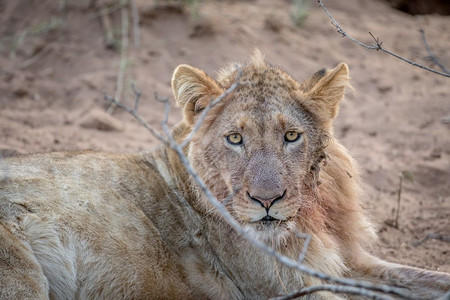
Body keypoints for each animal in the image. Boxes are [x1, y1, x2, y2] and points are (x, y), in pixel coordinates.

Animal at [0, 51, 450, 298]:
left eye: (291, 136)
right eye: (235, 138)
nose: (267, 201)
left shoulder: (349, 261)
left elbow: (427, 279)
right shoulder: (284, 286)